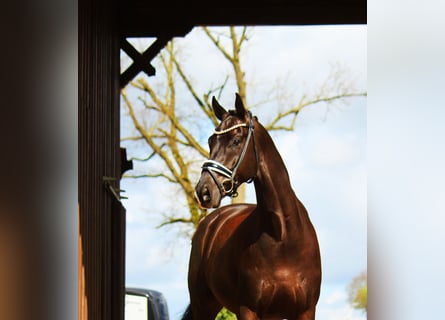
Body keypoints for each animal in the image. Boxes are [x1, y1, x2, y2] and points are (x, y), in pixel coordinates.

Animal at [182, 94, 320, 318]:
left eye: (236, 141)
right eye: (211, 141)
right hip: (203, 305)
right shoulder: (248, 310)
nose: (204, 191)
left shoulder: (306, 311)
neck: (282, 235)